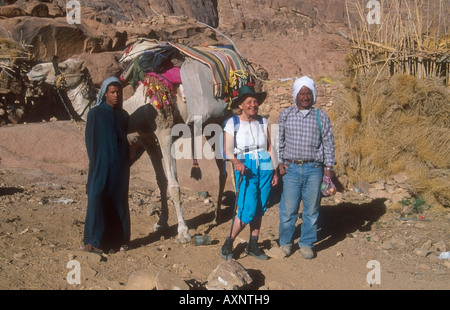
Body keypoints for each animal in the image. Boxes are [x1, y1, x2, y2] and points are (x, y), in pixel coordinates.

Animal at [27, 49, 250, 242]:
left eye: (64, 66)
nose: (34, 70)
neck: (137, 109)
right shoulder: (147, 138)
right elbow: (160, 181)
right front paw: (161, 223)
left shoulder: (164, 132)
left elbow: (174, 185)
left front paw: (183, 233)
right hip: (209, 126)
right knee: (222, 168)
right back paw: (217, 216)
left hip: (224, 119)